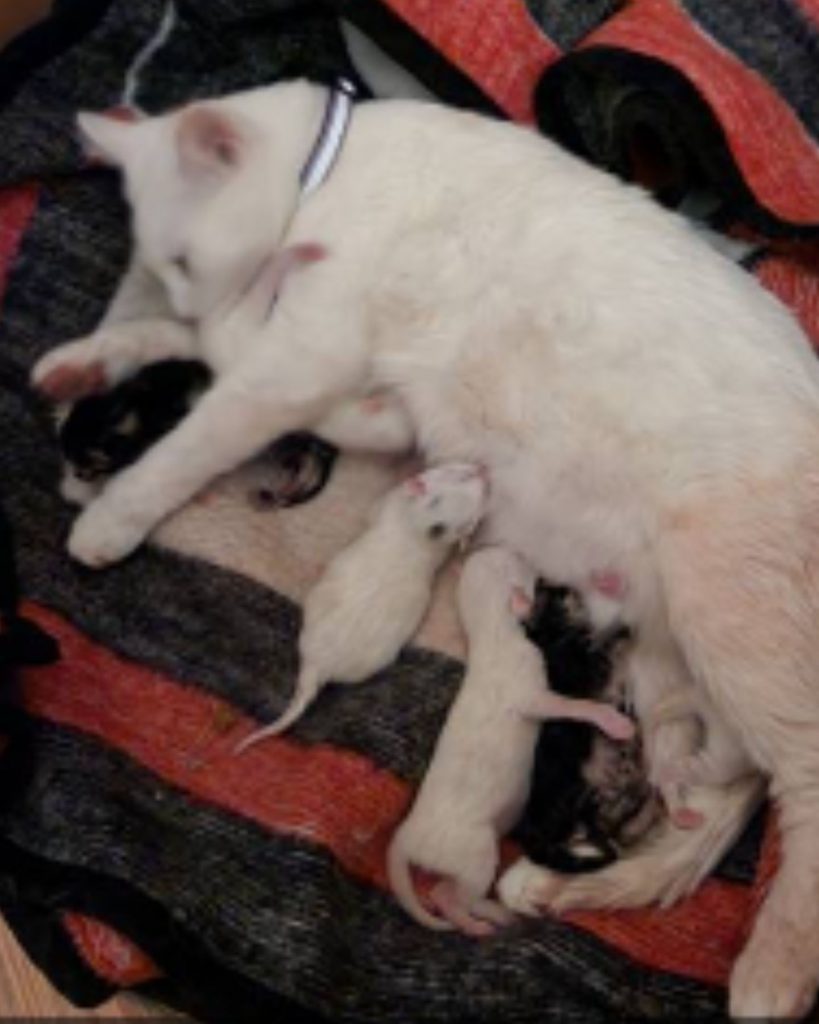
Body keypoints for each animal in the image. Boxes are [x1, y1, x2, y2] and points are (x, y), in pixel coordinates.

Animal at [511, 585, 659, 872]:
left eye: (546, 590)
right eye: (553, 594)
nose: (543, 580)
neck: (557, 637)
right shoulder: (593, 662)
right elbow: (609, 637)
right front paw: (625, 622)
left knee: (611, 827)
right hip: (580, 791)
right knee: (599, 833)